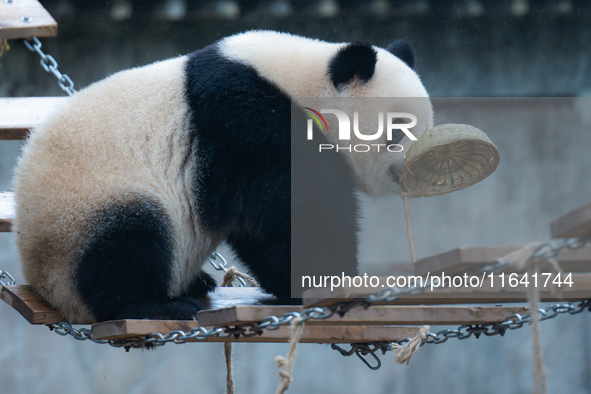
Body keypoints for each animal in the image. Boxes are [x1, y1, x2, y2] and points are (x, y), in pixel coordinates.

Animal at [11, 30, 432, 320]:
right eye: (398, 130)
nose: (416, 170)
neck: (299, 81)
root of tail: (45, 285)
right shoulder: (251, 120)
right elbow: (297, 212)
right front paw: (332, 283)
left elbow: (260, 228)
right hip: (84, 208)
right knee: (126, 243)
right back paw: (154, 305)